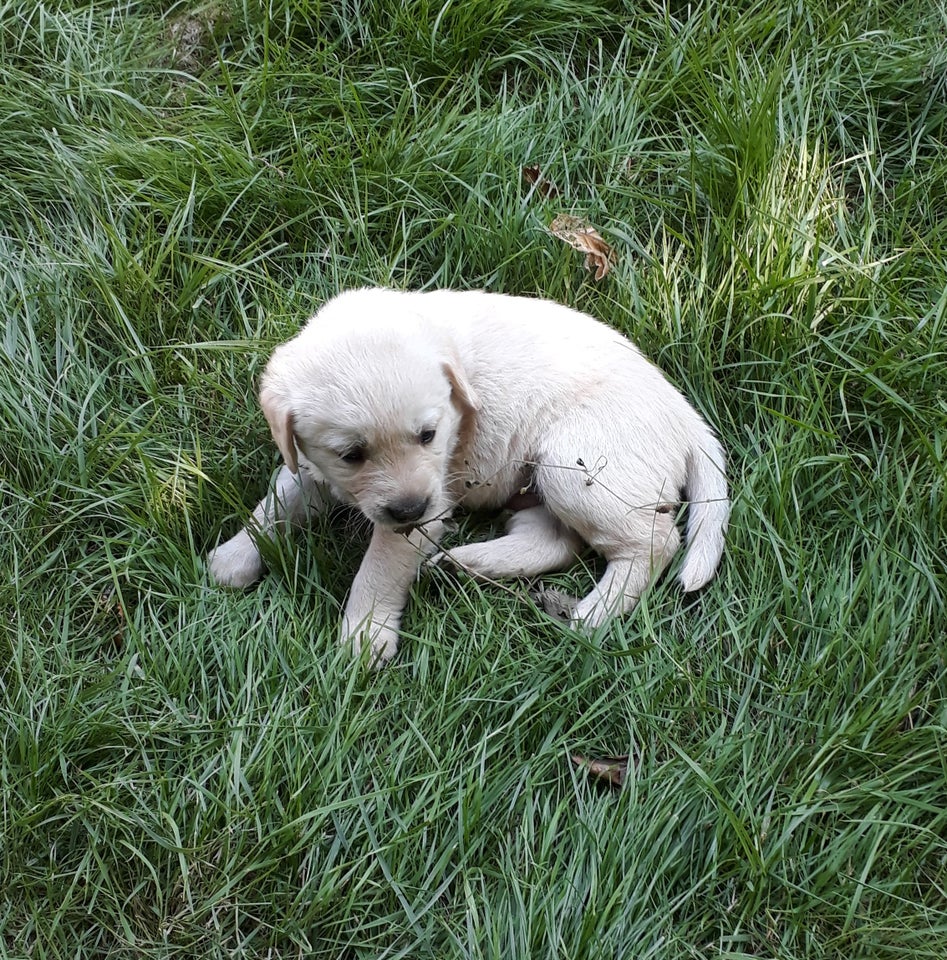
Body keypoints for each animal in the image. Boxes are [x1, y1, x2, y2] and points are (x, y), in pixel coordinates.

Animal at [207, 288, 728, 664]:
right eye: (351, 454)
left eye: (428, 435)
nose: (409, 508)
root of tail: (685, 414)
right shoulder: (311, 466)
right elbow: (275, 504)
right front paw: (235, 554)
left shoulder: (427, 507)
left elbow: (379, 566)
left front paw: (365, 633)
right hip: (540, 482)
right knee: (554, 542)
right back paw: (464, 563)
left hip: (577, 467)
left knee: (653, 543)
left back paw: (593, 613)